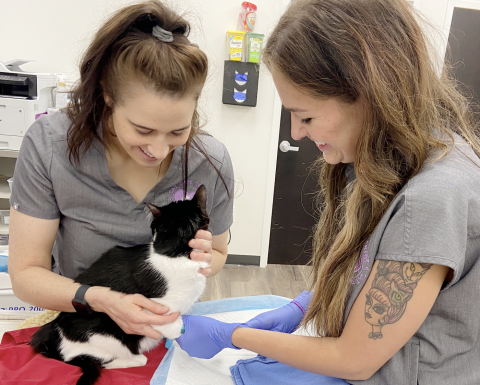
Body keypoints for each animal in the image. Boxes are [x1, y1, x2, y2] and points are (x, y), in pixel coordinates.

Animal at [30, 184, 210, 382]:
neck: (174, 250)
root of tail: (56, 337)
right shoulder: (156, 306)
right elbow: (167, 319)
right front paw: (177, 330)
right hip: (104, 331)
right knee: (102, 361)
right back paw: (135, 358)